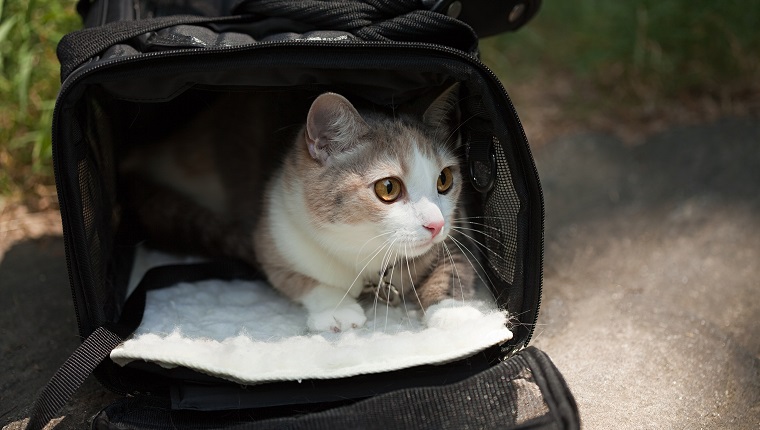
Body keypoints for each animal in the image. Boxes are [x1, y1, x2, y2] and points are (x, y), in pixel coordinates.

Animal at [124, 85, 476, 332]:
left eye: (445, 179)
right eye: (388, 188)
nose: (436, 224)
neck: (366, 253)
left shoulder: (459, 229)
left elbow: (455, 266)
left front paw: (453, 313)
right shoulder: (276, 232)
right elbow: (296, 278)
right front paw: (336, 308)